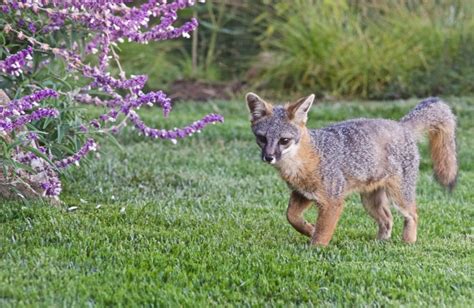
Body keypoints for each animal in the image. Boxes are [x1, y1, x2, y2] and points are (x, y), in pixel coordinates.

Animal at [246, 92, 458, 247]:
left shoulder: (333, 201)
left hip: (399, 196)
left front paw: (314, 251)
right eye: (262, 138)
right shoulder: (303, 194)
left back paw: (407, 243)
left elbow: (322, 234)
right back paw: (380, 243)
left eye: (284, 140)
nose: (268, 157)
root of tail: (401, 124)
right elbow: (291, 216)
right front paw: (308, 228)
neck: (308, 158)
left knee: (412, 215)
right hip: (370, 201)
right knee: (387, 219)